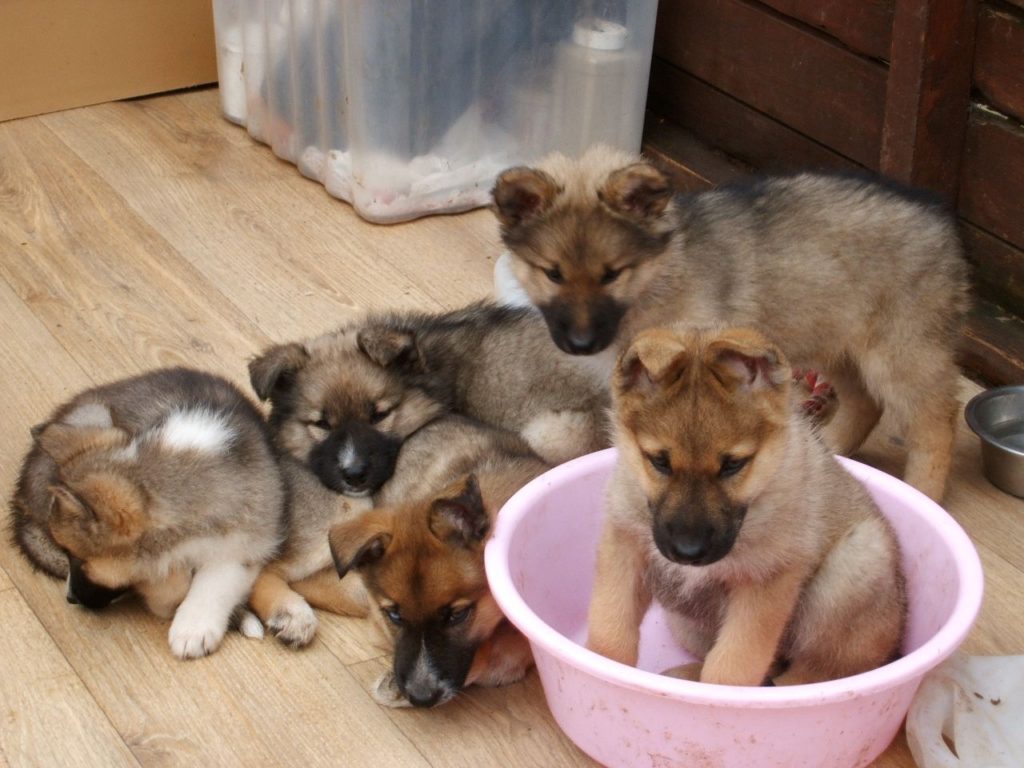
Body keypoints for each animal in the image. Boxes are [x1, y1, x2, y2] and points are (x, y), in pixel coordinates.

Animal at [589, 327, 909, 688]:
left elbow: (732, 668)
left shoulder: (765, 583)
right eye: (659, 461)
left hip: (859, 560)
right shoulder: (624, 547)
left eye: (733, 464)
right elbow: (609, 634)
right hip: (686, 625)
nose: (688, 552)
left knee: (811, 674)